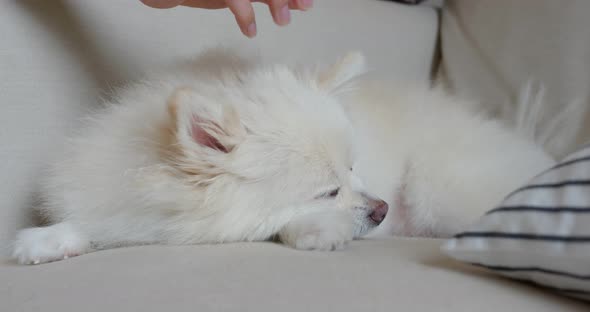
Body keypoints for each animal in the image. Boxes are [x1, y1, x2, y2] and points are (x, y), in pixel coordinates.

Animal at [11, 48, 572, 264]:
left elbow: (281, 226)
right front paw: (48, 239)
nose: (383, 209)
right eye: (330, 188)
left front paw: (320, 232)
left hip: (440, 189)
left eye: (355, 169)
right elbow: (94, 225)